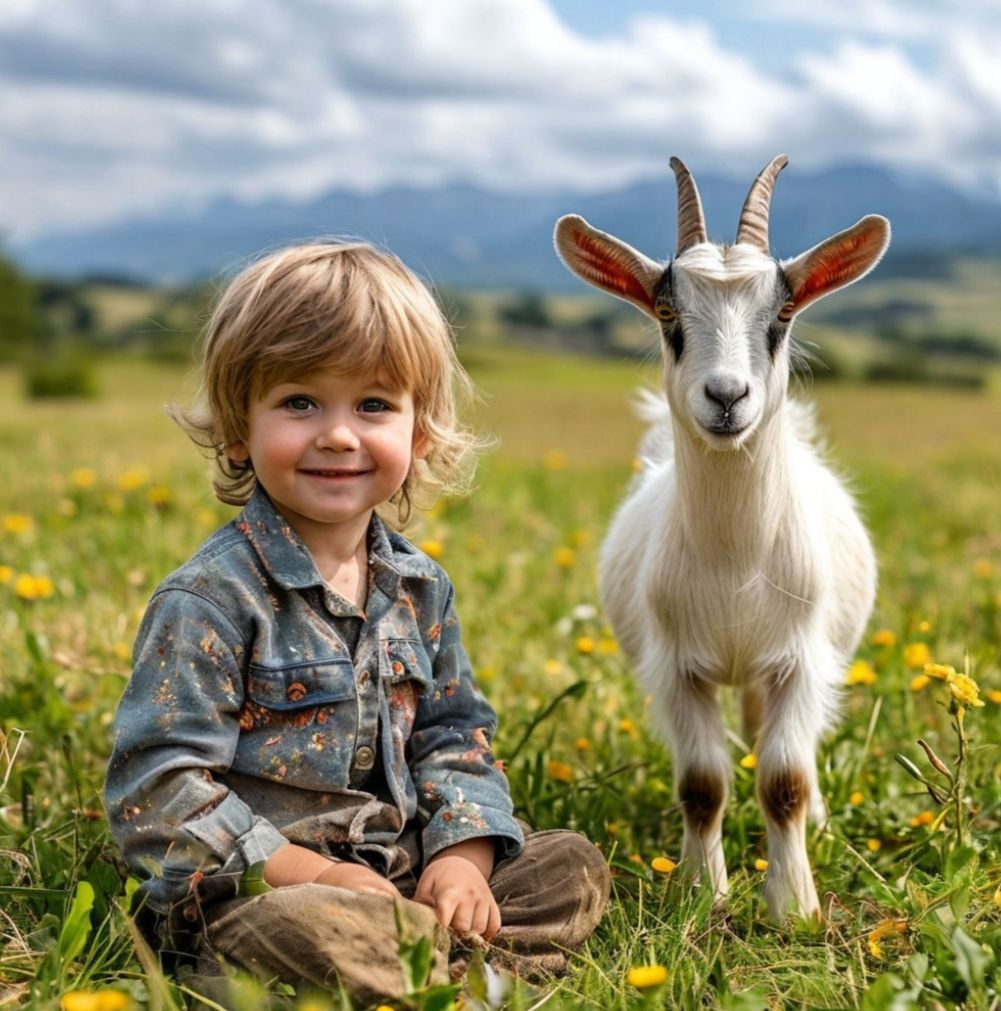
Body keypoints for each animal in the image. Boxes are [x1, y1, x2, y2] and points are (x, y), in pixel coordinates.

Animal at [558, 155, 893, 917]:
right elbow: (703, 785)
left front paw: (792, 906)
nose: (726, 397)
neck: (737, 563)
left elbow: (784, 780)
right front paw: (698, 893)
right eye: (667, 312)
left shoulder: (800, 659)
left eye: (782, 314)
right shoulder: (677, 667)